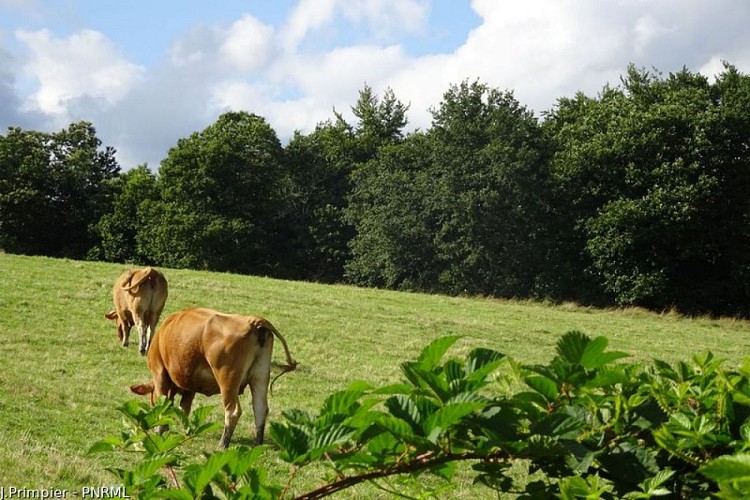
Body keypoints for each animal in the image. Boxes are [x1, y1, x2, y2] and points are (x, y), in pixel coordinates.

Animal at [129, 306, 296, 448]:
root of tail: (253, 321)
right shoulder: (190, 383)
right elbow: (185, 407)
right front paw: (187, 431)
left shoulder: (159, 372)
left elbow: (165, 403)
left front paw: (160, 429)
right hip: (260, 377)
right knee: (260, 409)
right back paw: (257, 444)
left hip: (227, 380)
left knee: (233, 411)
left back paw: (223, 444)